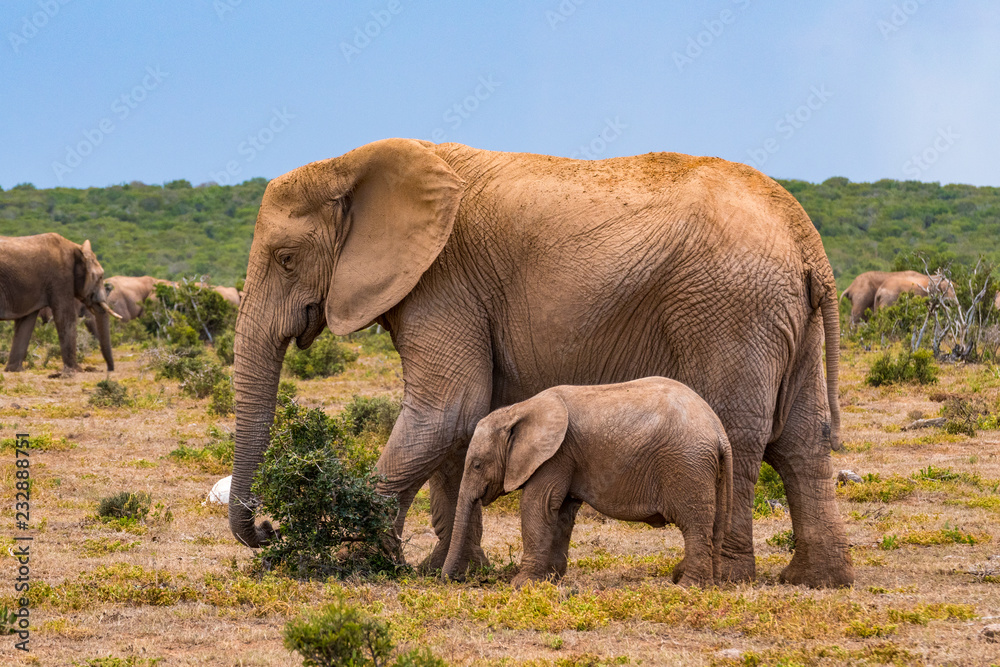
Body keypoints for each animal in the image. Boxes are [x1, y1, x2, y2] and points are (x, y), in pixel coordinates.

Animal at [0, 233, 119, 373]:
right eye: (100, 277)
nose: (109, 369)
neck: (75, 247)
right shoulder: (61, 278)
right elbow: (66, 316)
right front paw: (76, 370)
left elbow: (26, 322)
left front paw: (15, 370)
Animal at [442, 378, 733, 588]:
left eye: (477, 465)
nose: (448, 579)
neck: (518, 410)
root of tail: (719, 433)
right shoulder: (567, 458)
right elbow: (561, 513)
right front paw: (550, 581)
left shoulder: (556, 455)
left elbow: (538, 506)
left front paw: (521, 585)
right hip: (706, 470)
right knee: (713, 525)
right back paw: (701, 580)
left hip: (687, 465)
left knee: (693, 525)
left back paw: (686, 587)